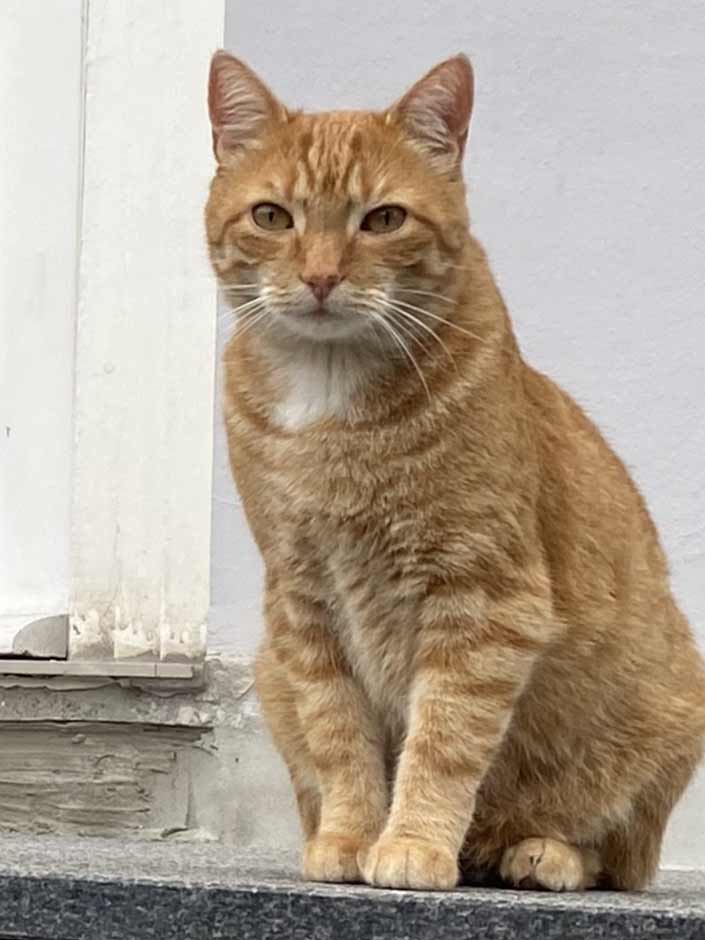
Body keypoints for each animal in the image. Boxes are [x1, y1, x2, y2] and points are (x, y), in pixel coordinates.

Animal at [204, 49, 704, 888]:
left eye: (383, 220)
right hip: (270, 669)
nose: (320, 278)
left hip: (661, 713)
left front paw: (411, 844)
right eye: (273, 217)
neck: (330, 402)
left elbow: (443, 740)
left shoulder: (482, 598)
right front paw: (349, 837)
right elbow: (338, 735)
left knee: (612, 855)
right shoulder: (303, 600)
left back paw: (538, 853)